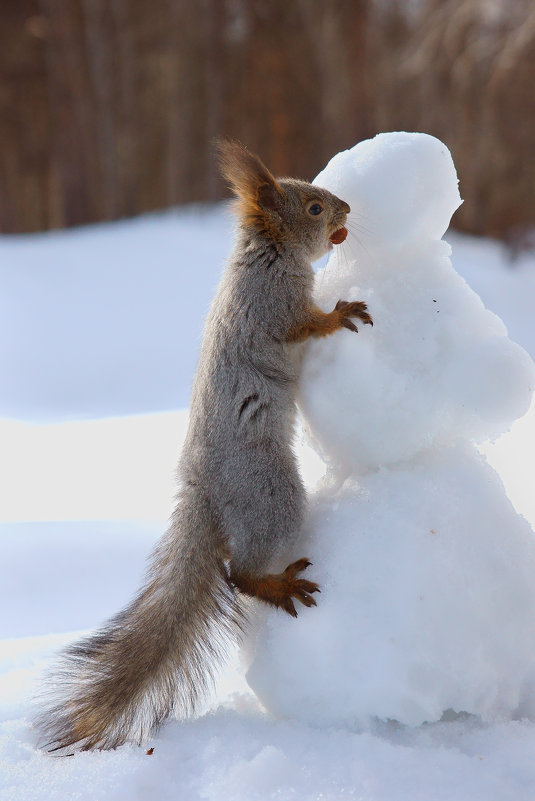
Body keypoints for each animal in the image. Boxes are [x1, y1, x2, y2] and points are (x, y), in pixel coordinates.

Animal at [35, 139, 374, 752]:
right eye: (314, 208)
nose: (347, 210)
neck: (266, 257)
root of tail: (204, 488)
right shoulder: (273, 307)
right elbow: (303, 326)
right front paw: (340, 313)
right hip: (271, 493)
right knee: (237, 575)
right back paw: (278, 584)